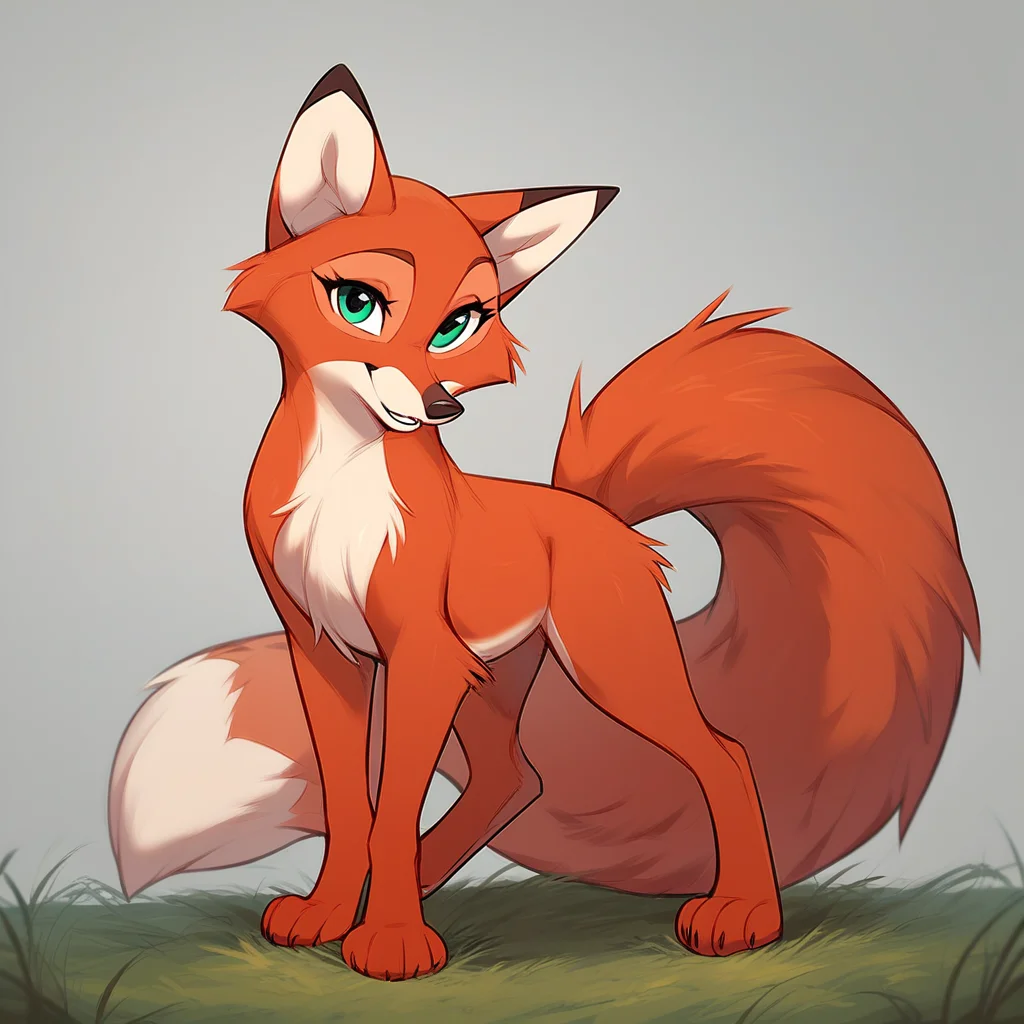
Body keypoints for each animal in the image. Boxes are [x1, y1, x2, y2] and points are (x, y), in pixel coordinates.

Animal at [107, 65, 980, 982]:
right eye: (358, 303)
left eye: (458, 326)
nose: (440, 406)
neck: (340, 491)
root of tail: (599, 515)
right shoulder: (327, 649)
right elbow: (354, 808)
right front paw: (331, 914)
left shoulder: (419, 655)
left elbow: (389, 810)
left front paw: (391, 940)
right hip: (494, 680)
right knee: (512, 779)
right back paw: (427, 876)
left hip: (607, 669)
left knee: (724, 755)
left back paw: (742, 914)